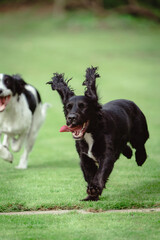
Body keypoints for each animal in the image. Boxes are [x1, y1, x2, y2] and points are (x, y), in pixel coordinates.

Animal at [47, 67, 149, 201]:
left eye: (83, 106)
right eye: (68, 107)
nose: (71, 118)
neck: (91, 132)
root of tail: (131, 102)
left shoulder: (106, 155)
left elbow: (101, 172)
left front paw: (94, 189)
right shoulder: (85, 158)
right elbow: (90, 174)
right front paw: (91, 196)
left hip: (139, 132)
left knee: (140, 145)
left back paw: (140, 158)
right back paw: (128, 153)